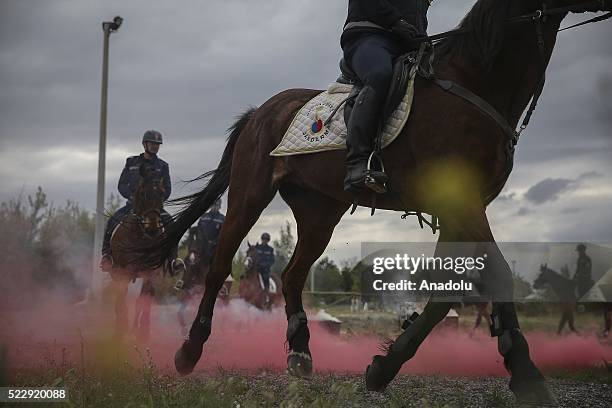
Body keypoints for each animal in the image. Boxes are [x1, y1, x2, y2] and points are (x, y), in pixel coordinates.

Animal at [140, 0, 612, 402]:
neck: (475, 80)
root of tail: (261, 111)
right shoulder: (462, 205)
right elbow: (496, 273)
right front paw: (526, 372)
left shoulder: (460, 212)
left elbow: (446, 293)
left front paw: (384, 366)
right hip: (249, 194)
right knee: (218, 268)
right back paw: (189, 351)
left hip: (319, 213)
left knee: (291, 276)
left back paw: (300, 352)